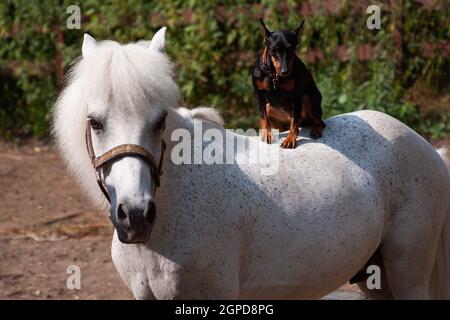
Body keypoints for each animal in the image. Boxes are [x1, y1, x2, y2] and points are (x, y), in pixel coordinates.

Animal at [253, 20, 324, 149]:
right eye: (274, 50)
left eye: (291, 49)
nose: (285, 71)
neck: (274, 74)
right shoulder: (258, 93)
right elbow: (262, 116)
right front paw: (267, 134)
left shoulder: (297, 95)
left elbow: (294, 122)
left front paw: (290, 139)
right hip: (270, 108)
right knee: (284, 125)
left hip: (308, 100)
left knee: (318, 122)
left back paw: (316, 130)